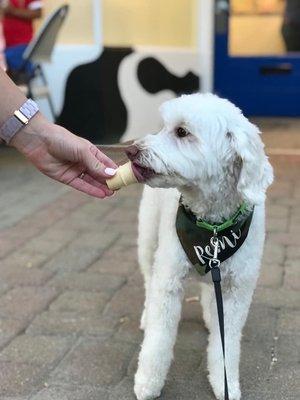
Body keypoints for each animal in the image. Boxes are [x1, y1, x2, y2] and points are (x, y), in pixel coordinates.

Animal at [127, 94, 274, 400]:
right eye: (164, 127)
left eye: (182, 132)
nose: (131, 150)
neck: (212, 228)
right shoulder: (168, 282)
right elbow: (158, 339)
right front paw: (148, 382)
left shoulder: (237, 291)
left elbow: (226, 344)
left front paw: (225, 383)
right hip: (147, 238)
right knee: (147, 279)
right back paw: (147, 313)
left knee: (209, 292)